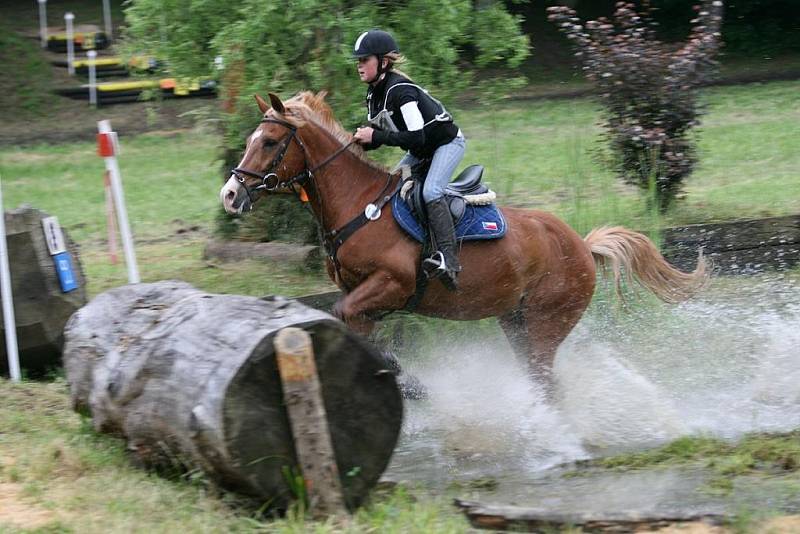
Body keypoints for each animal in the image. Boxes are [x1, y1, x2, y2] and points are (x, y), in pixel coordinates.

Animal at [219, 91, 708, 394]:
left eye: (270, 141)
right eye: (250, 139)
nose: (229, 194)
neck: (358, 205)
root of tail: (582, 247)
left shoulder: (391, 284)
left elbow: (345, 314)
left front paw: (408, 380)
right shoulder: (365, 299)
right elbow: (350, 323)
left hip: (548, 321)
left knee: (545, 380)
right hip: (515, 321)